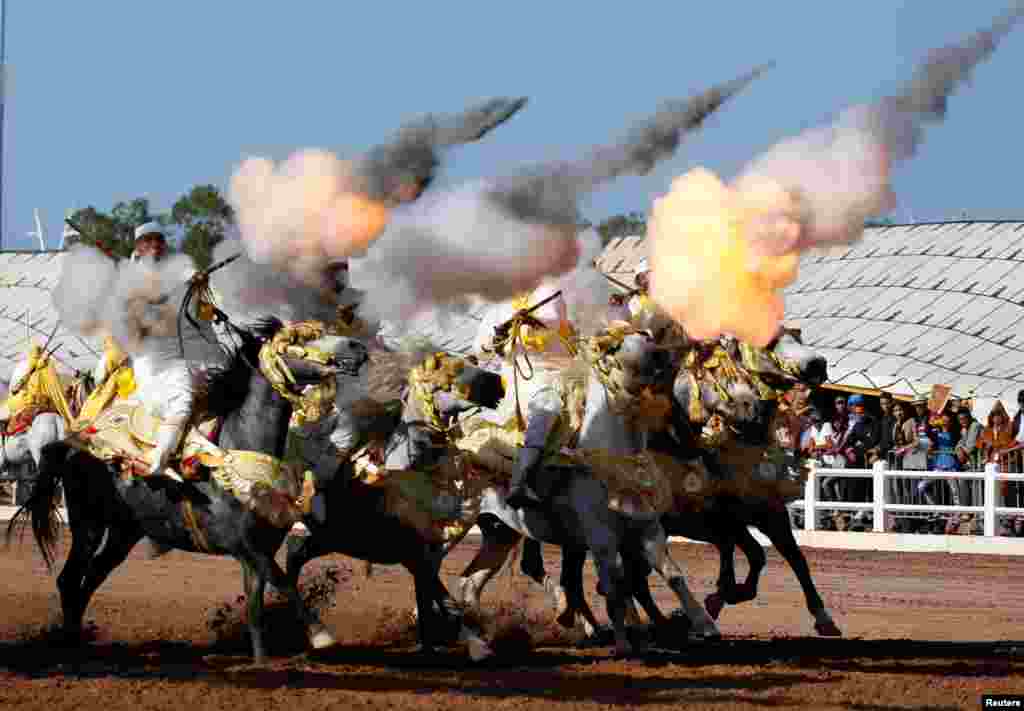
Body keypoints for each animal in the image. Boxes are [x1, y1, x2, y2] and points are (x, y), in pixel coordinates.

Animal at [7, 319, 368, 663]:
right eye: (299, 338)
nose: (357, 346)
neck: (237, 453)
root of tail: (71, 443)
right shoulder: (244, 545)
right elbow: (284, 582)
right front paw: (321, 635)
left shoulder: (257, 550)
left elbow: (256, 607)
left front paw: (261, 663)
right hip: (88, 524)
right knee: (69, 580)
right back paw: (69, 645)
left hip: (124, 533)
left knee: (88, 581)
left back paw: (77, 640)